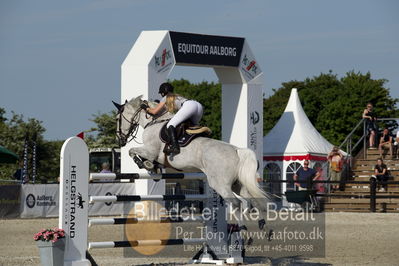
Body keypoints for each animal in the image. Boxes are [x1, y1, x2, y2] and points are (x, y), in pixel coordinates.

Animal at [115, 96, 272, 229]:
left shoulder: (151, 151)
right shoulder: (153, 154)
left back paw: (241, 228)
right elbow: (146, 159)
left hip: (220, 184)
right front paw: (153, 168)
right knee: (250, 196)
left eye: (117, 119)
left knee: (236, 202)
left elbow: (132, 152)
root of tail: (236, 150)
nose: (120, 140)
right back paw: (261, 223)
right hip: (237, 183)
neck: (153, 122)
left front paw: (144, 164)